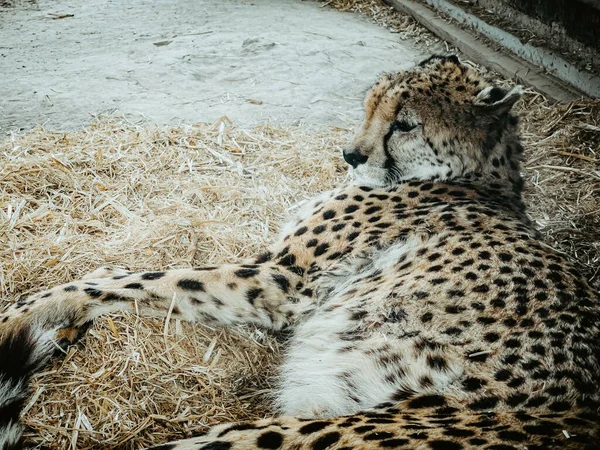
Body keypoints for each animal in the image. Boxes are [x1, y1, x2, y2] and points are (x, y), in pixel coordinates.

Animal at [1, 56, 600, 450]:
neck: (475, 177)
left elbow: (145, 278)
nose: (351, 154)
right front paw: (63, 321)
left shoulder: (278, 281)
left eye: (405, 123)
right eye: (370, 105)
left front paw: (23, 314)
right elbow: (130, 273)